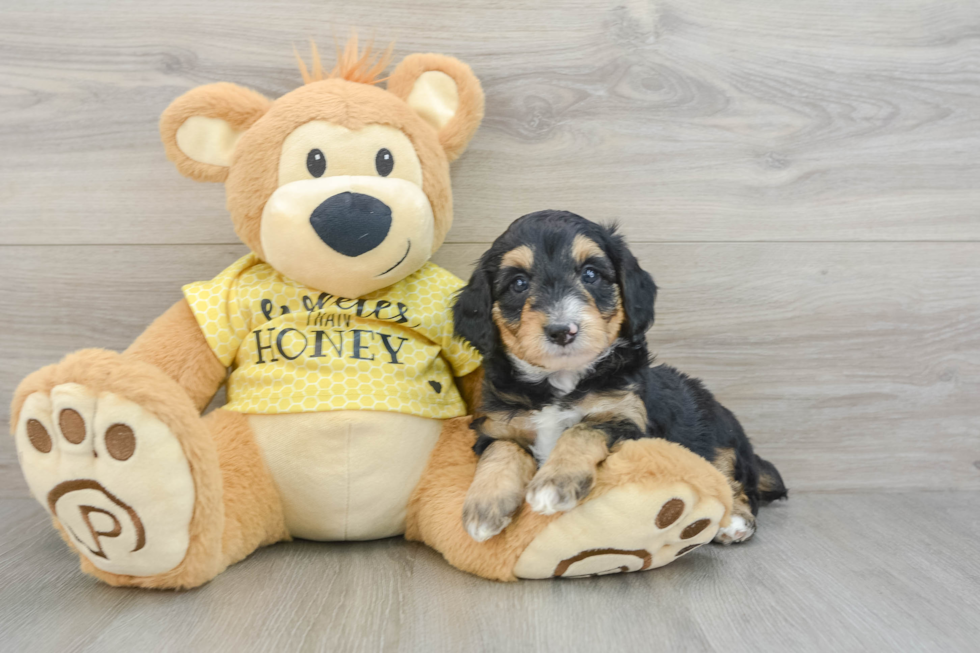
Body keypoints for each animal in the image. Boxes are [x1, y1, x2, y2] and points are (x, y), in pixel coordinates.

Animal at [454, 209, 788, 540]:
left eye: (591, 274)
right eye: (519, 283)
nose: (563, 331)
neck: (562, 380)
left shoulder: (628, 421)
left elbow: (583, 429)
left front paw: (554, 483)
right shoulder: (497, 425)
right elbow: (502, 448)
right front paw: (484, 506)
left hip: (718, 434)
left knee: (734, 477)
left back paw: (736, 520)